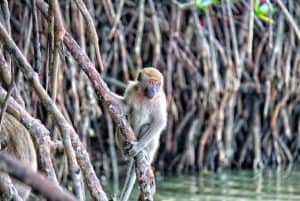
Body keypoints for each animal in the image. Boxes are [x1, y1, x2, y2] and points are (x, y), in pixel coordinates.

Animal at [115, 67, 168, 201]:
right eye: (151, 82)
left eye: (157, 84)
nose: (154, 89)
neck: (144, 96)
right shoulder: (131, 89)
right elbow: (124, 107)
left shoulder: (160, 99)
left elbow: (160, 122)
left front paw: (138, 147)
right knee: (120, 125)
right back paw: (125, 152)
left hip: (151, 148)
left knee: (146, 127)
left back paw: (143, 151)